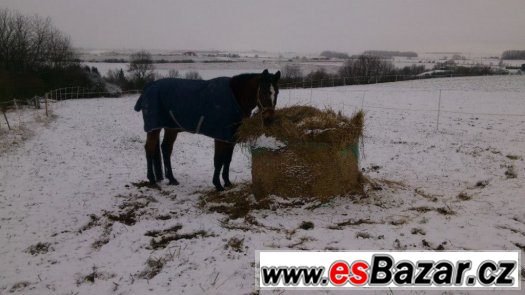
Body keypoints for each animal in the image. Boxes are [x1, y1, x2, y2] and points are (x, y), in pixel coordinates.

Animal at [137, 69, 280, 192]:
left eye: (277, 92)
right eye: (264, 91)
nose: (269, 119)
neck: (235, 96)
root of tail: (148, 87)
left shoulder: (230, 138)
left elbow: (227, 160)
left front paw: (227, 182)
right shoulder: (220, 137)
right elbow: (218, 160)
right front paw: (218, 185)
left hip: (170, 128)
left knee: (166, 149)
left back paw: (172, 179)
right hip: (154, 129)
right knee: (149, 149)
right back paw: (152, 180)